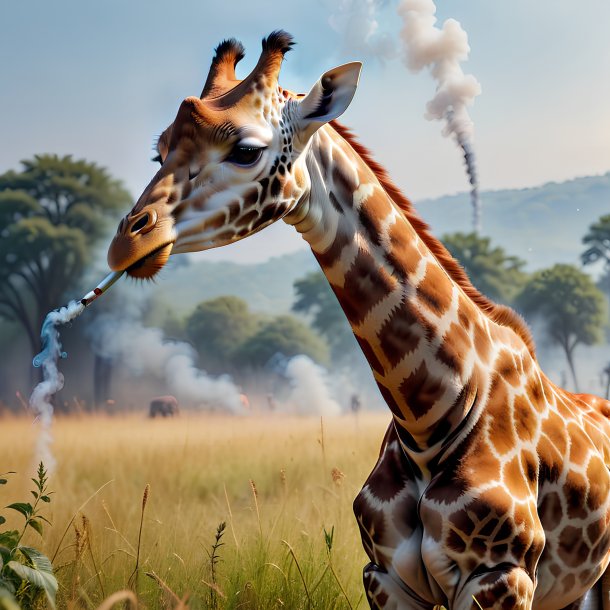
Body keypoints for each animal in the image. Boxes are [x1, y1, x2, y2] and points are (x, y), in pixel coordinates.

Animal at [107, 30, 608, 604]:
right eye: (160, 149)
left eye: (246, 150)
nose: (126, 243)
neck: (429, 420)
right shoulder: (385, 576)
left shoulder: (501, 575)